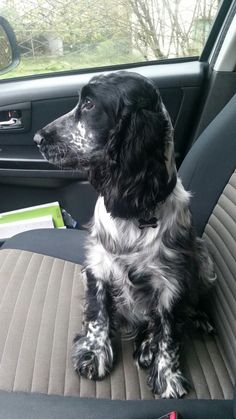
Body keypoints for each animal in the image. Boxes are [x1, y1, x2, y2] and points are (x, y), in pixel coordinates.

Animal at [33, 70, 216, 398]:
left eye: (89, 104)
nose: (38, 138)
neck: (136, 210)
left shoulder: (171, 281)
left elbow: (168, 331)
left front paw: (168, 375)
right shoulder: (98, 264)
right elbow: (98, 315)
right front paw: (94, 353)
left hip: (204, 259)